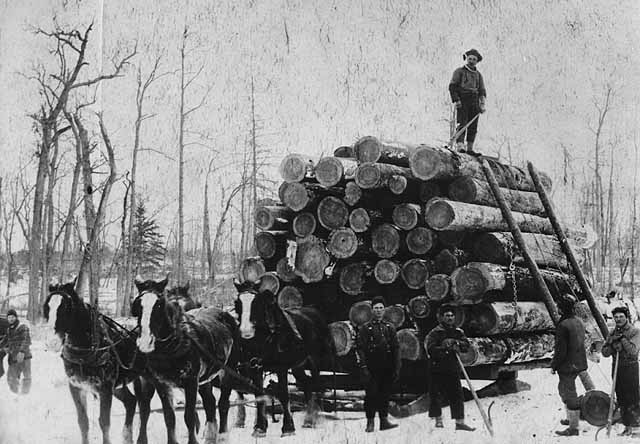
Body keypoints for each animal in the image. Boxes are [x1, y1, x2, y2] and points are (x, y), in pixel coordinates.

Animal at [43, 280, 176, 444]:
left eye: (67, 308)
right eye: (47, 307)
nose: (52, 342)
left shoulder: (105, 389)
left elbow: (104, 422)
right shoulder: (76, 387)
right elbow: (83, 422)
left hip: (157, 381)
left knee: (167, 413)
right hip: (125, 383)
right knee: (135, 403)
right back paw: (129, 437)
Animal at [132, 276, 240, 444]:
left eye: (159, 304)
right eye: (138, 304)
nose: (144, 342)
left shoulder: (191, 381)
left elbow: (189, 415)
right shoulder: (162, 384)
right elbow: (169, 417)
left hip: (228, 370)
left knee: (223, 403)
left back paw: (222, 435)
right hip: (205, 379)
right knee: (210, 403)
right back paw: (210, 436)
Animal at [234, 280, 336, 436]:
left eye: (257, 302)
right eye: (237, 303)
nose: (246, 332)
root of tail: (314, 312)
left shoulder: (281, 368)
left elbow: (283, 394)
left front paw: (288, 428)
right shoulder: (255, 368)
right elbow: (259, 396)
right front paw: (259, 428)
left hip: (315, 362)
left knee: (317, 386)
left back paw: (316, 418)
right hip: (298, 366)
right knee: (307, 385)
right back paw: (308, 420)